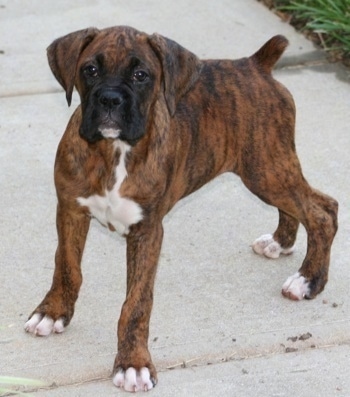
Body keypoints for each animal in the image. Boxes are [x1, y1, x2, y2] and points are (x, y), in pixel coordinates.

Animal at [23, 26, 336, 392]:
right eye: (90, 70)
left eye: (141, 75)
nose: (110, 100)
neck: (112, 151)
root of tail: (254, 64)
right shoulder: (70, 211)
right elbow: (66, 266)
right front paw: (53, 312)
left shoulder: (147, 231)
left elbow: (136, 303)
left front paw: (133, 363)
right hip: (266, 169)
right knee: (303, 207)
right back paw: (280, 242)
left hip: (267, 167)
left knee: (323, 211)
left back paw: (308, 280)